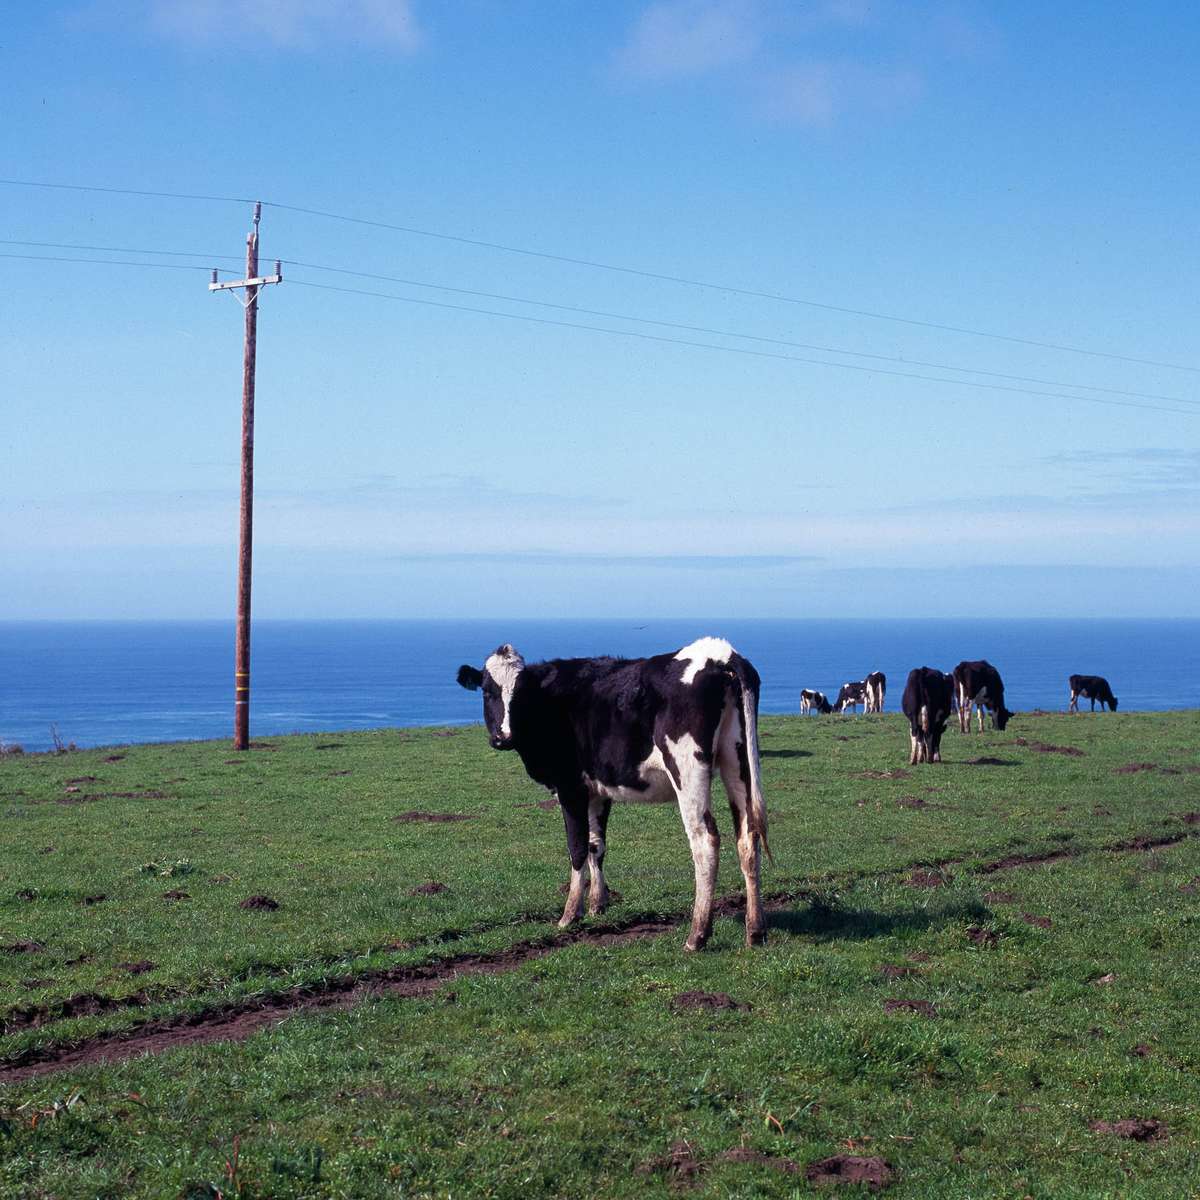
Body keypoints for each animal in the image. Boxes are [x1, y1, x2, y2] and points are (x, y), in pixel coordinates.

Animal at [453, 633, 772, 950]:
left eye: (520, 696)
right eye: (487, 692)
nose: (503, 737)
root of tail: (721, 653)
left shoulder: (570, 787)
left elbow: (577, 847)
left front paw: (570, 914)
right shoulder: (598, 789)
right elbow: (597, 845)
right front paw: (598, 904)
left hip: (688, 769)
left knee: (705, 840)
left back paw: (697, 935)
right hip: (738, 760)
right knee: (748, 836)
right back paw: (755, 930)